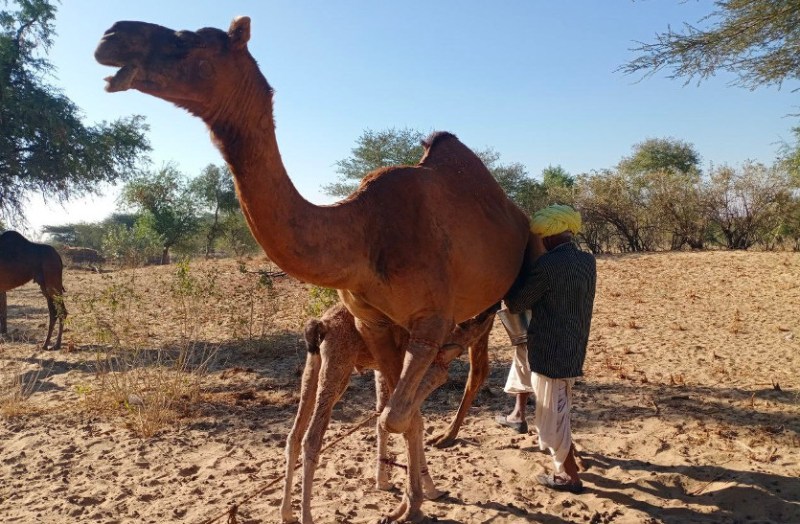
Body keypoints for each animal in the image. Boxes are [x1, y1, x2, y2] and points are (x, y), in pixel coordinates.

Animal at [282, 302, 497, 524]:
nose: (493, 309)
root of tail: (321, 324)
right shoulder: (425, 370)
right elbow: (414, 423)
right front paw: (429, 491)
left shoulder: (382, 370)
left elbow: (383, 420)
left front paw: (384, 482)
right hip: (338, 364)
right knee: (311, 439)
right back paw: (306, 517)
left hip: (313, 366)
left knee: (294, 436)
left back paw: (287, 513)